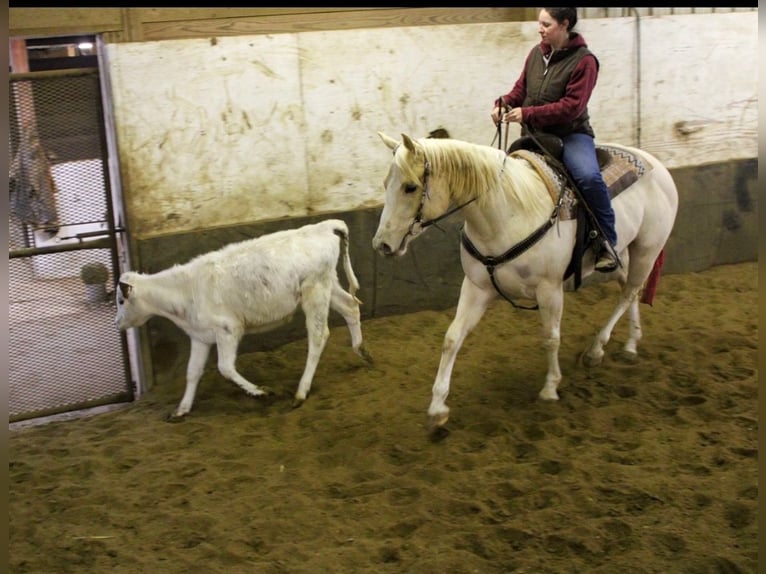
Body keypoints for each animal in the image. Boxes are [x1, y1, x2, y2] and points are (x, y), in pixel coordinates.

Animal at [372, 132, 678, 431]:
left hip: (646, 249)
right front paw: (437, 408)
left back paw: (596, 350)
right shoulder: (476, 288)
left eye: (410, 187)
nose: (382, 244)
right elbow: (452, 338)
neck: (507, 215)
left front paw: (550, 388)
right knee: (629, 287)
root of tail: (656, 163)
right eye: (386, 183)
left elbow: (551, 338)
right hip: (619, 257)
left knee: (629, 292)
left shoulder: (550, 290)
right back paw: (630, 344)